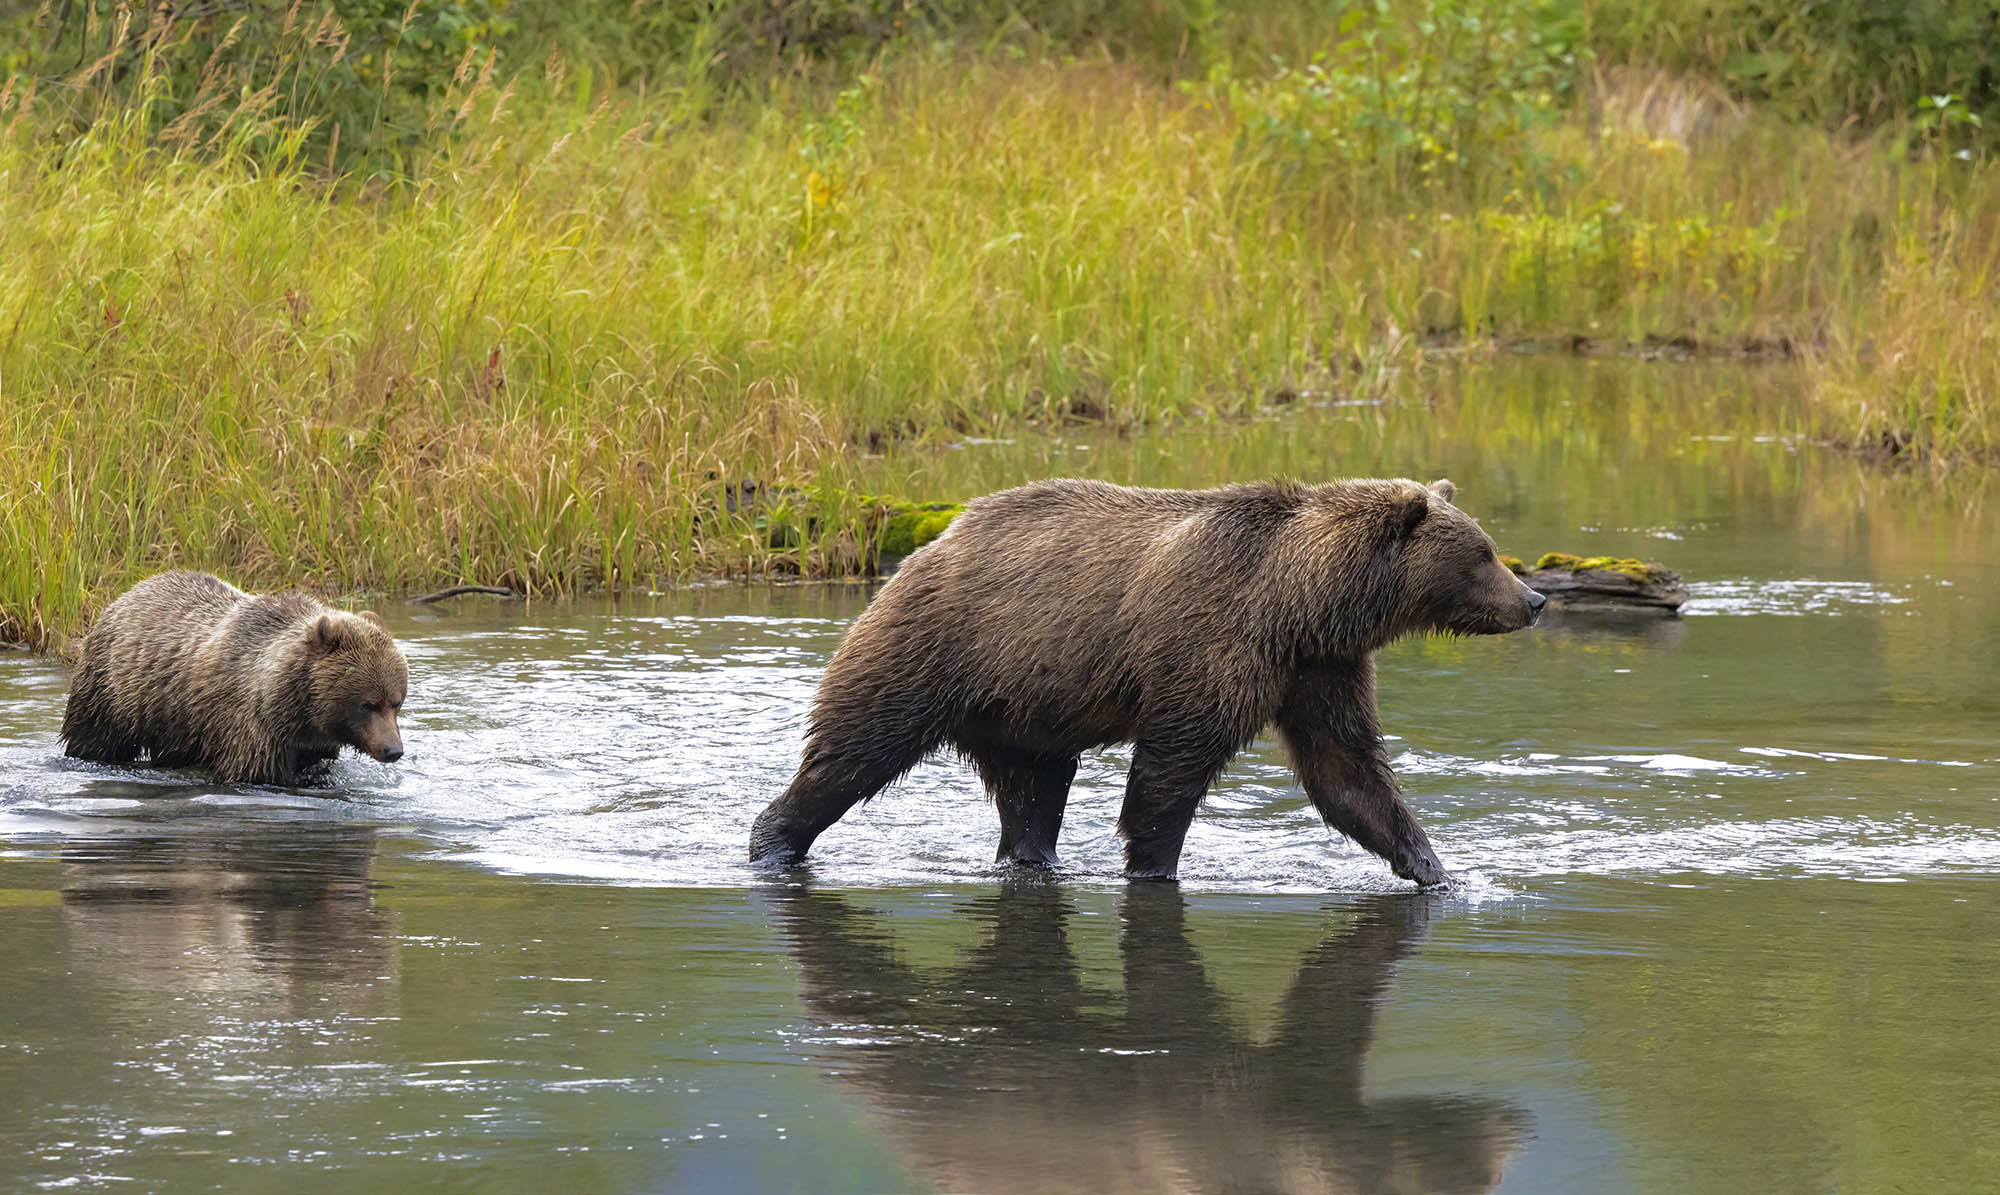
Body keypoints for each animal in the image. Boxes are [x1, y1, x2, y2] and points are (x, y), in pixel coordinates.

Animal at [61, 571, 408, 786]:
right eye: (368, 704)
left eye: (396, 703)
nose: (393, 750)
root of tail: (131, 590)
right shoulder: (250, 728)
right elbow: (253, 773)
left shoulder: (315, 745)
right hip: (113, 689)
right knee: (96, 737)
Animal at [749, 477, 1545, 887]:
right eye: (1483, 553)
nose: (1534, 599)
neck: (1304, 602)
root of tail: (928, 546)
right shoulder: (1214, 642)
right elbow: (1171, 771)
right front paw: (1155, 865)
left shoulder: (1319, 669)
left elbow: (1346, 770)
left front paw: (1436, 868)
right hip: (940, 647)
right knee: (855, 749)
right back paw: (773, 840)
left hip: (1025, 708)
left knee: (1033, 791)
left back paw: (1033, 857)